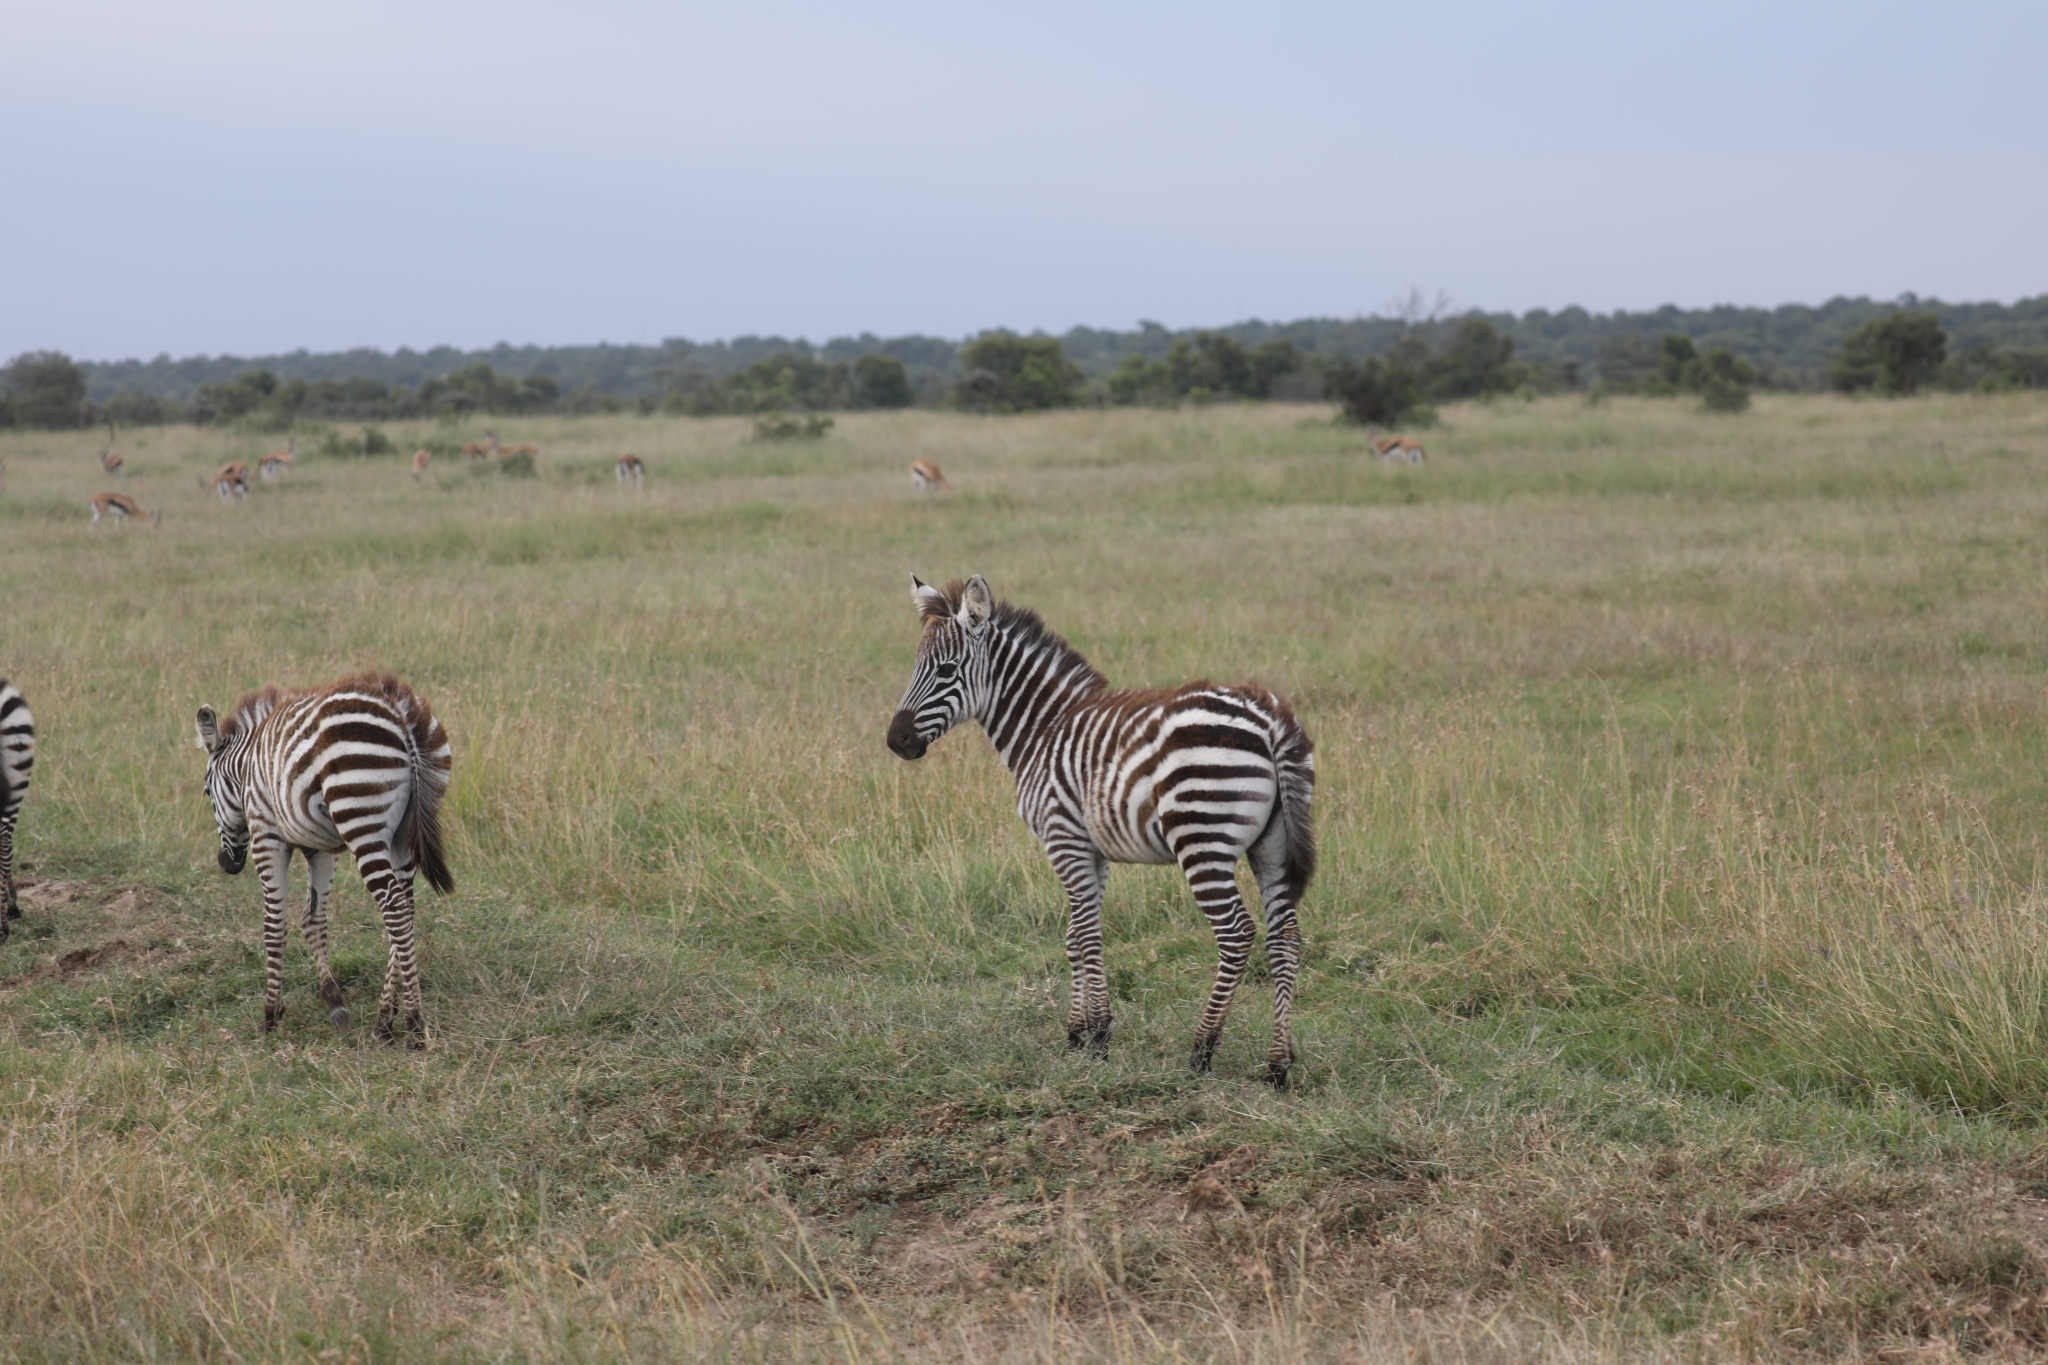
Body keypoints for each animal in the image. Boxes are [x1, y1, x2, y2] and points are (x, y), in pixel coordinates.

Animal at [195, 671, 456, 1047]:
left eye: (206, 791)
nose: (226, 864)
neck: (246, 772)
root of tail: (400, 713)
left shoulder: (266, 834)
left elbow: (274, 925)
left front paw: (271, 1015)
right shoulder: (318, 847)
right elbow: (313, 919)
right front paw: (335, 1002)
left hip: (359, 816)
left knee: (393, 906)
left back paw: (415, 1025)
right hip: (403, 833)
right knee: (405, 907)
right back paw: (384, 1020)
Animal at [888, 577, 1318, 1088]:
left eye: (947, 669)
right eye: (917, 666)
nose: (896, 741)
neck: (1042, 729)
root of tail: (1271, 719)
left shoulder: (1064, 838)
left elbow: (1086, 935)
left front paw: (1096, 1037)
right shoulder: (1091, 849)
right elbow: (1077, 934)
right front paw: (1081, 1032)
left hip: (1202, 838)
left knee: (1236, 934)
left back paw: (1201, 1050)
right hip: (1272, 846)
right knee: (1285, 936)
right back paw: (1278, 1065)